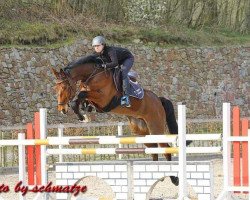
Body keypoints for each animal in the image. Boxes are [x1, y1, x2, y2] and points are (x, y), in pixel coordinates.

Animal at [51, 55, 180, 186]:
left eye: (65, 87)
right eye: (55, 88)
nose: (62, 109)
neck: (93, 75)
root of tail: (158, 100)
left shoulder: (103, 99)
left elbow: (81, 94)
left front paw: (82, 116)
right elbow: (81, 98)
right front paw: (84, 112)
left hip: (155, 127)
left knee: (166, 148)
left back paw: (174, 178)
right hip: (141, 131)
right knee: (153, 147)